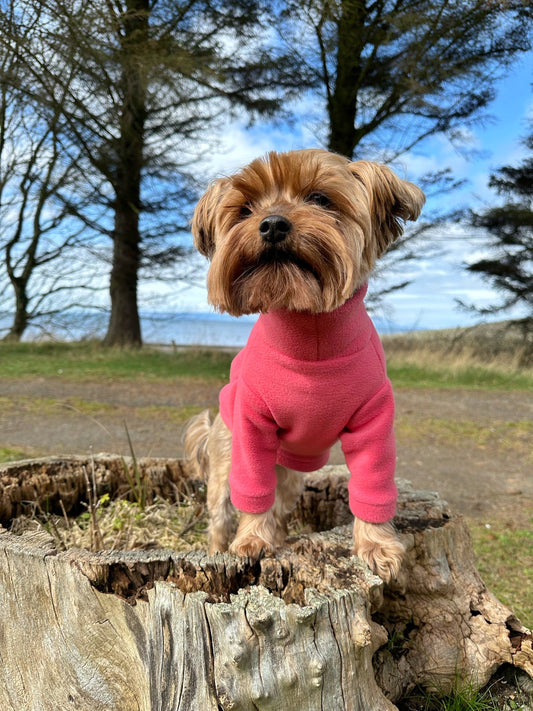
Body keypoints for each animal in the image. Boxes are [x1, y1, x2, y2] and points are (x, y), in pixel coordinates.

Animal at [185, 149, 425, 582]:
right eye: (245, 209)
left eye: (319, 199)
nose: (272, 224)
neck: (309, 329)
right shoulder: (251, 424)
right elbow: (252, 492)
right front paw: (251, 541)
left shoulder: (374, 419)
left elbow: (373, 483)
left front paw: (377, 547)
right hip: (226, 458)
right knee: (223, 512)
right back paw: (222, 548)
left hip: (292, 473)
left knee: (281, 504)